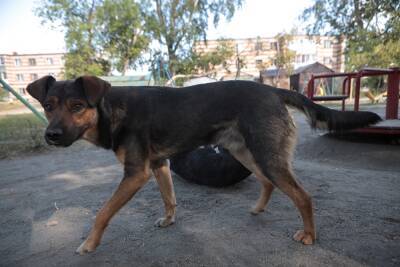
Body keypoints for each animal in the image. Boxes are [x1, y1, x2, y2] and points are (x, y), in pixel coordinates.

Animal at [26, 76, 380, 255]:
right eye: (48, 106)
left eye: (76, 106)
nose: (50, 136)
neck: (110, 109)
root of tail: (273, 89)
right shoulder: (159, 165)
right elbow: (169, 198)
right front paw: (169, 220)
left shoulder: (136, 174)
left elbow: (102, 213)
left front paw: (88, 243)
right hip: (245, 152)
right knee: (267, 182)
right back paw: (258, 208)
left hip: (267, 156)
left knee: (303, 196)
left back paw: (309, 235)